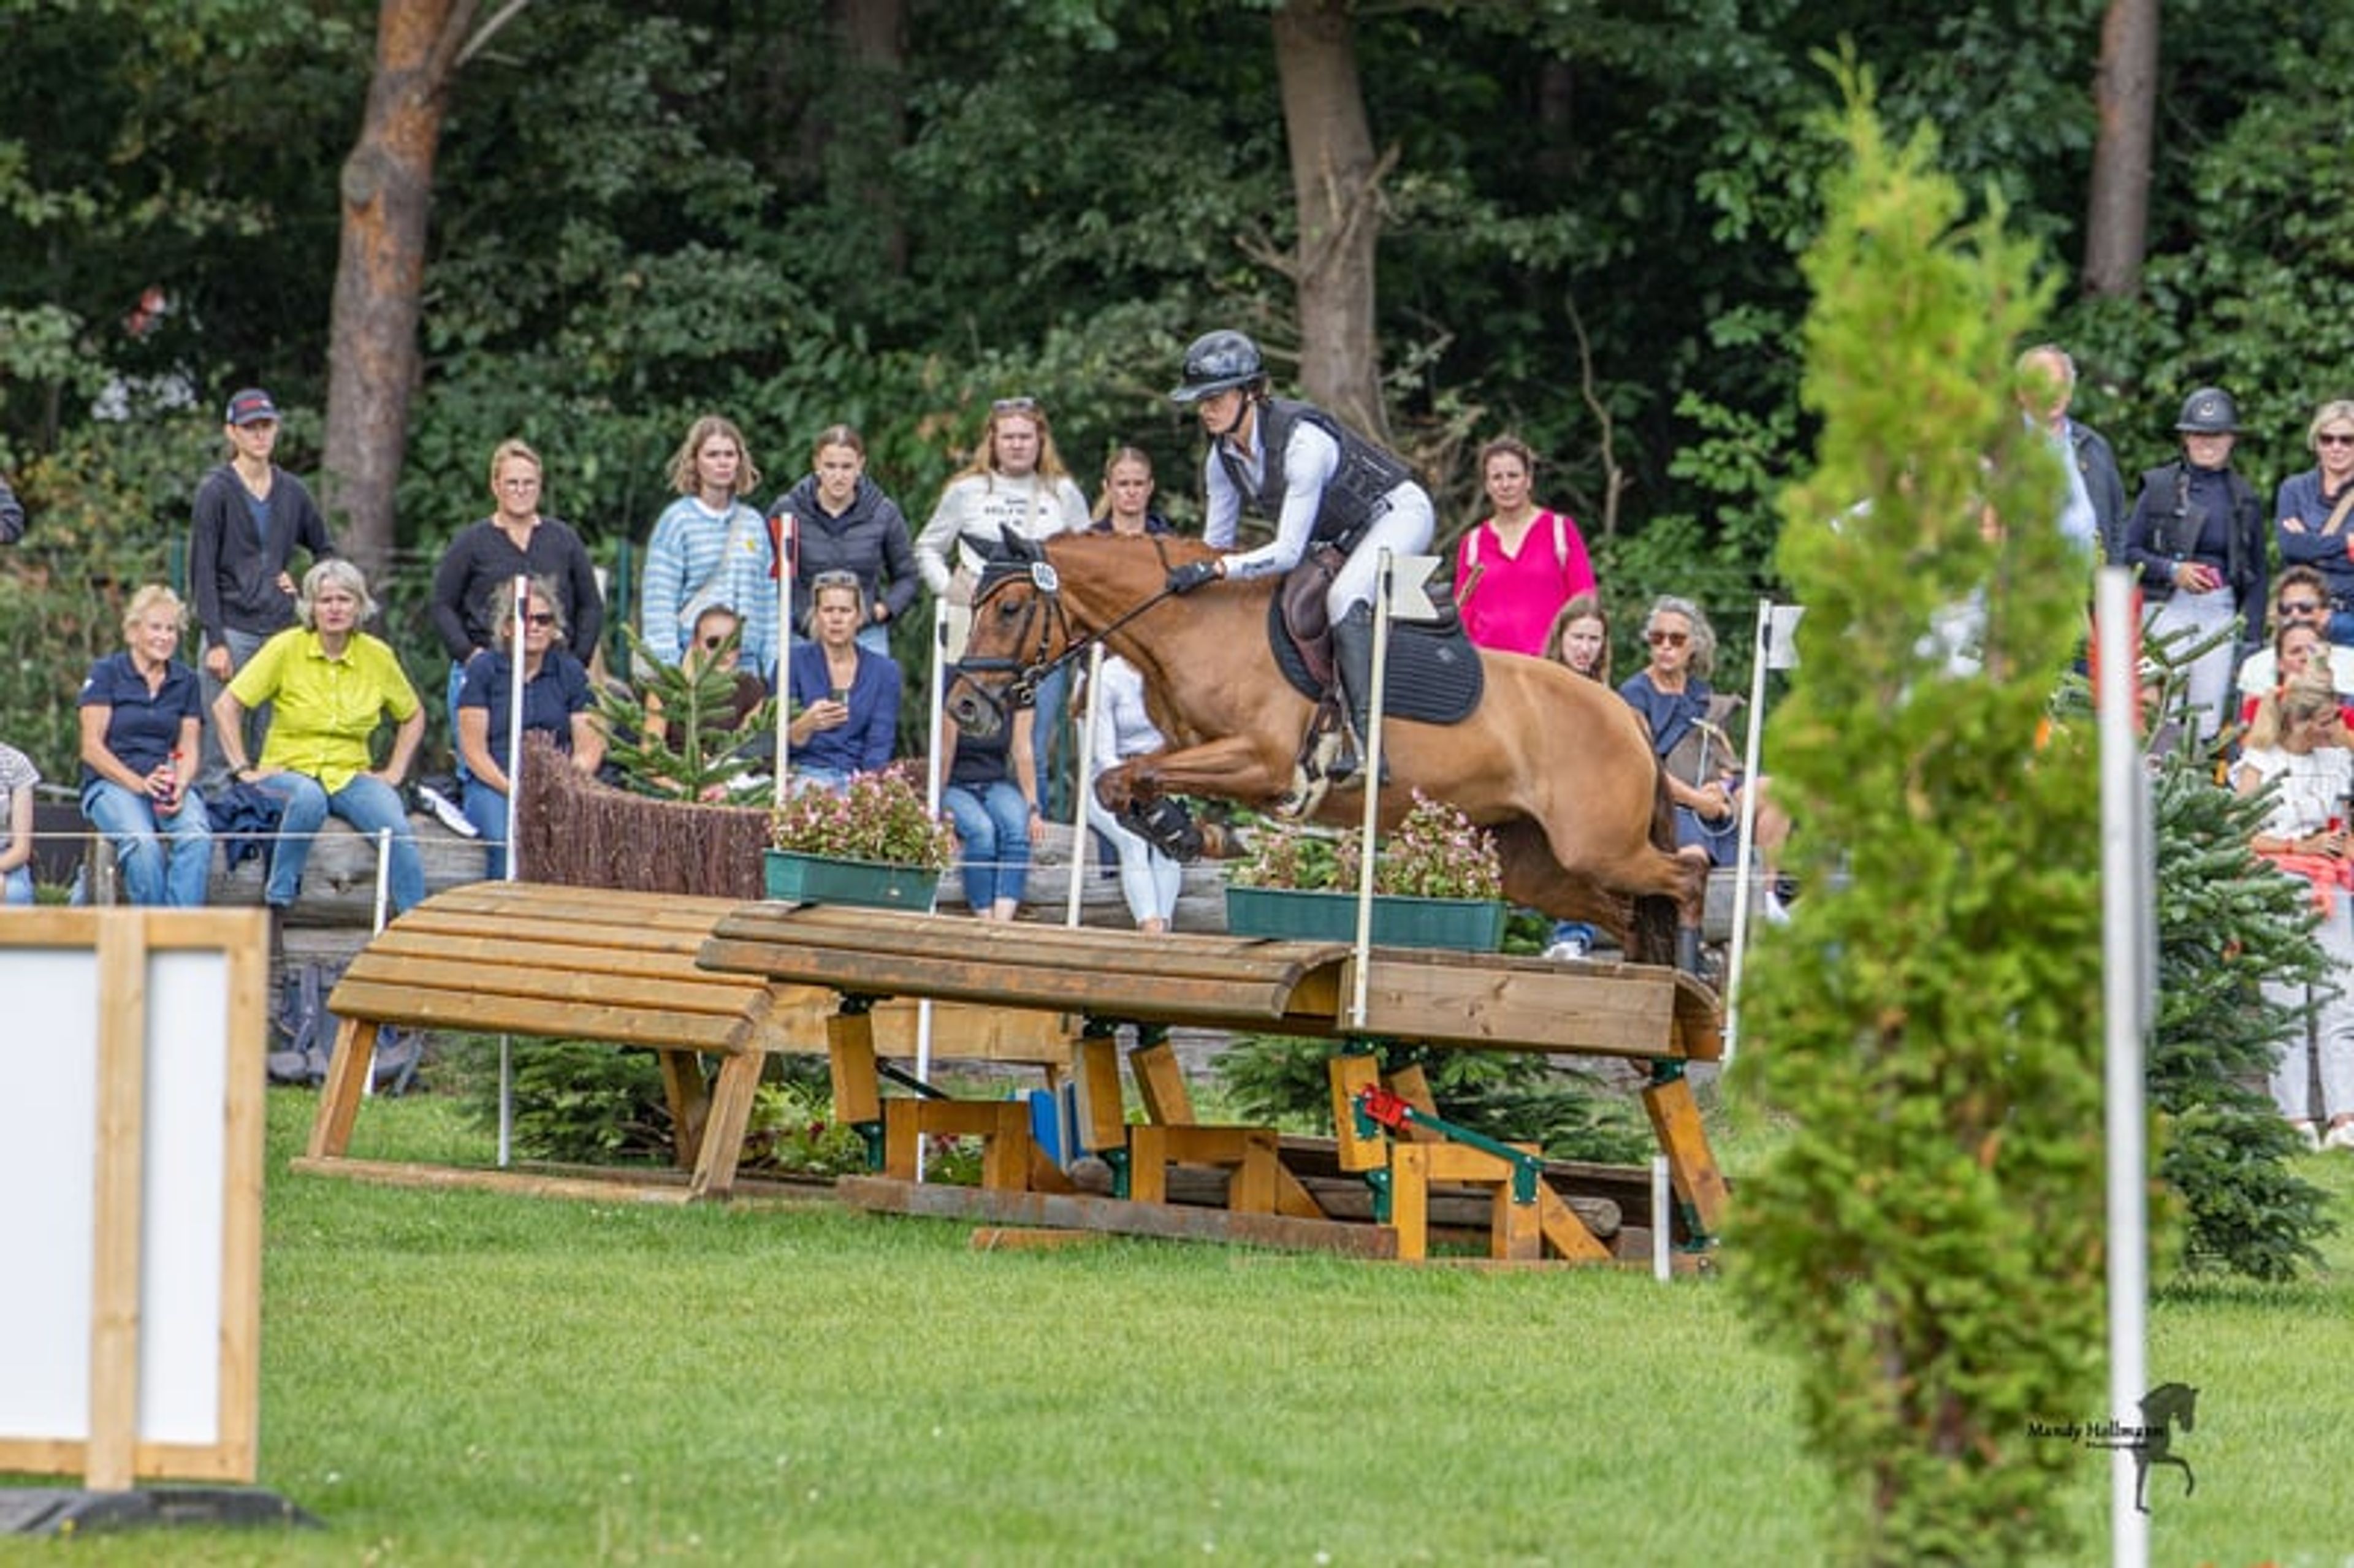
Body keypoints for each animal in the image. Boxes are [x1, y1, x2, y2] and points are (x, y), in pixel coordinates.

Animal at [943, 530, 1704, 968]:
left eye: (1009, 608)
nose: (965, 706)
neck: (1193, 621)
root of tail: (1627, 714)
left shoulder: (1262, 757)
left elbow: (1131, 775)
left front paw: (1194, 833)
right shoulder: (1198, 748)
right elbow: (1122, 779)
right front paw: (1191, 833)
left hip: (1598, 845)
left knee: (1686, 876)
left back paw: (1690, 979)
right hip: (1535, 865)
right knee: (1628, 913)